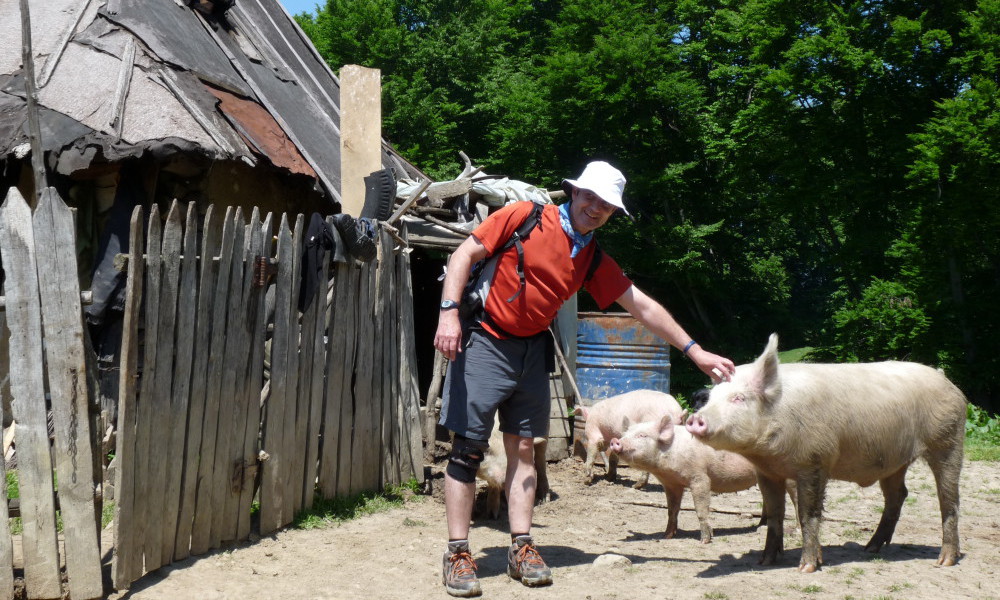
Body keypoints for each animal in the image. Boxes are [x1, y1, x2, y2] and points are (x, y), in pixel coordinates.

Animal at [612, 414, 792, 540]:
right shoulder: (671, 484)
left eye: (642, 436)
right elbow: (672, 510)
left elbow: (701, 508)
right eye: (624, 434)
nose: (615, 441)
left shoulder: (699, 477)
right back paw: (760, 525)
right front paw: (666, 536)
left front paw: (705, 540)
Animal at [684, 332, 964, 572]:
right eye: (710, 398)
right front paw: (764, 561)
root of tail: (947, 381)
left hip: (948, 440)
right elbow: (775, 515)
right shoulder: (767, 472)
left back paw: (944, 561)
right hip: (895, 461)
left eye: (739, 398)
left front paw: (807, 567)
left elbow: (808, 514)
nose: (695, 419)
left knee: (948, 499)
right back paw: (870, 549)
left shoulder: (815, 461)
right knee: (898, 495)